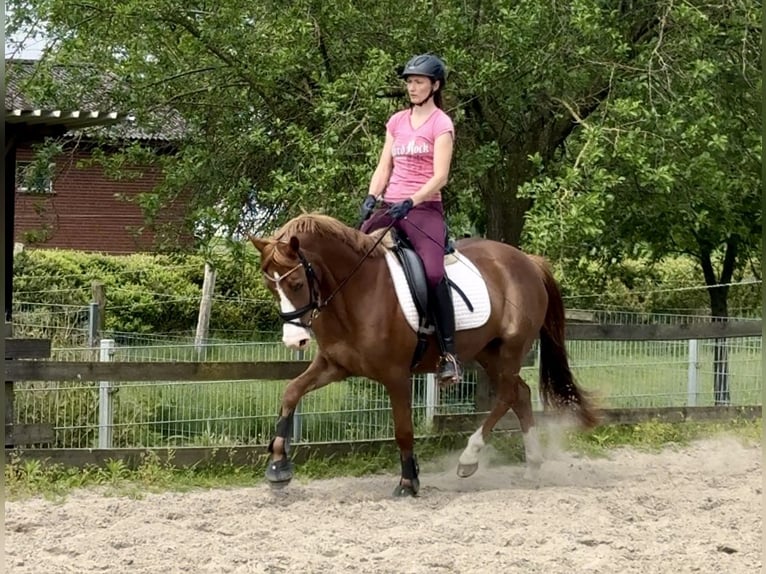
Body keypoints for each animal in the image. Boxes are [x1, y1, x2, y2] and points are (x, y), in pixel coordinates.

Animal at [252, 214, 600, 498]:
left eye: (296, 283)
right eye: (271, 288)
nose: (294, 340)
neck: (358, 291)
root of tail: (527, 260)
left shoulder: (396, 375)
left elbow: (403, 430)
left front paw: (409, 482)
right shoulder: (334, 365)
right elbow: (291, 392)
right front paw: (278, 466)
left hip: (512, 349)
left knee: (507, 395)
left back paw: (469, 459)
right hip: (489, 352)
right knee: (521, 394)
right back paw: (531, 466)